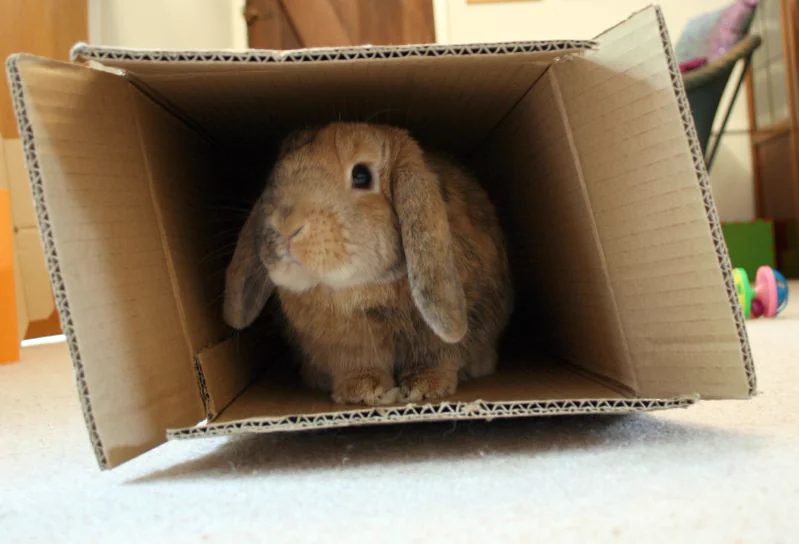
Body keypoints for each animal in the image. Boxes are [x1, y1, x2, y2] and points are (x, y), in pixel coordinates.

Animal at [223, 122, 513, 405]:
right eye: (275, 175)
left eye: (361, 175)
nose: (284, 225)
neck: (357, 289)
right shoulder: (344, 347)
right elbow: (358, 366)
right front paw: (362, 392)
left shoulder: (445, 334)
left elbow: (438, 354)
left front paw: (424, 388)